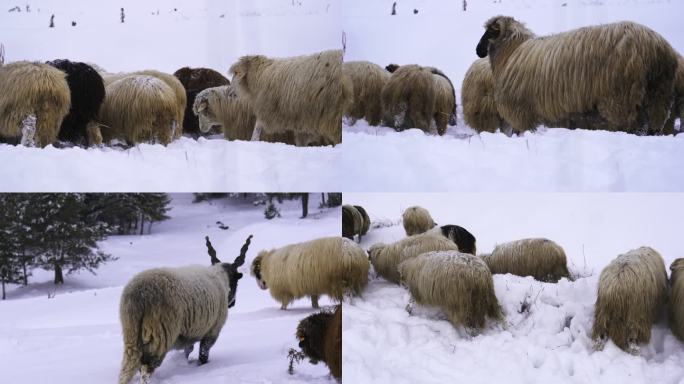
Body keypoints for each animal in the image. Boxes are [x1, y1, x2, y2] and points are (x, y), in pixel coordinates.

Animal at [117, 234, 254, 384]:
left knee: (127, 370)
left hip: (132, 336)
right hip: (160, 335)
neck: (220, 278)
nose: (232, 303)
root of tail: (138, 295)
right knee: (146, 369)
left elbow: (188, 351)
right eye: (236, 282)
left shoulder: (190, 334)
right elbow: (203, 355)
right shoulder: (212, 331)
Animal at [476, 15, 680, 136]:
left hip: (621, 96)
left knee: (627, 124)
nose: (478, 50)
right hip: (658, 92)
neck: (511, 52)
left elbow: (523, 129)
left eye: (490, 31)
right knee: (656, 118)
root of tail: (656, 47)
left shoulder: (521, 109)